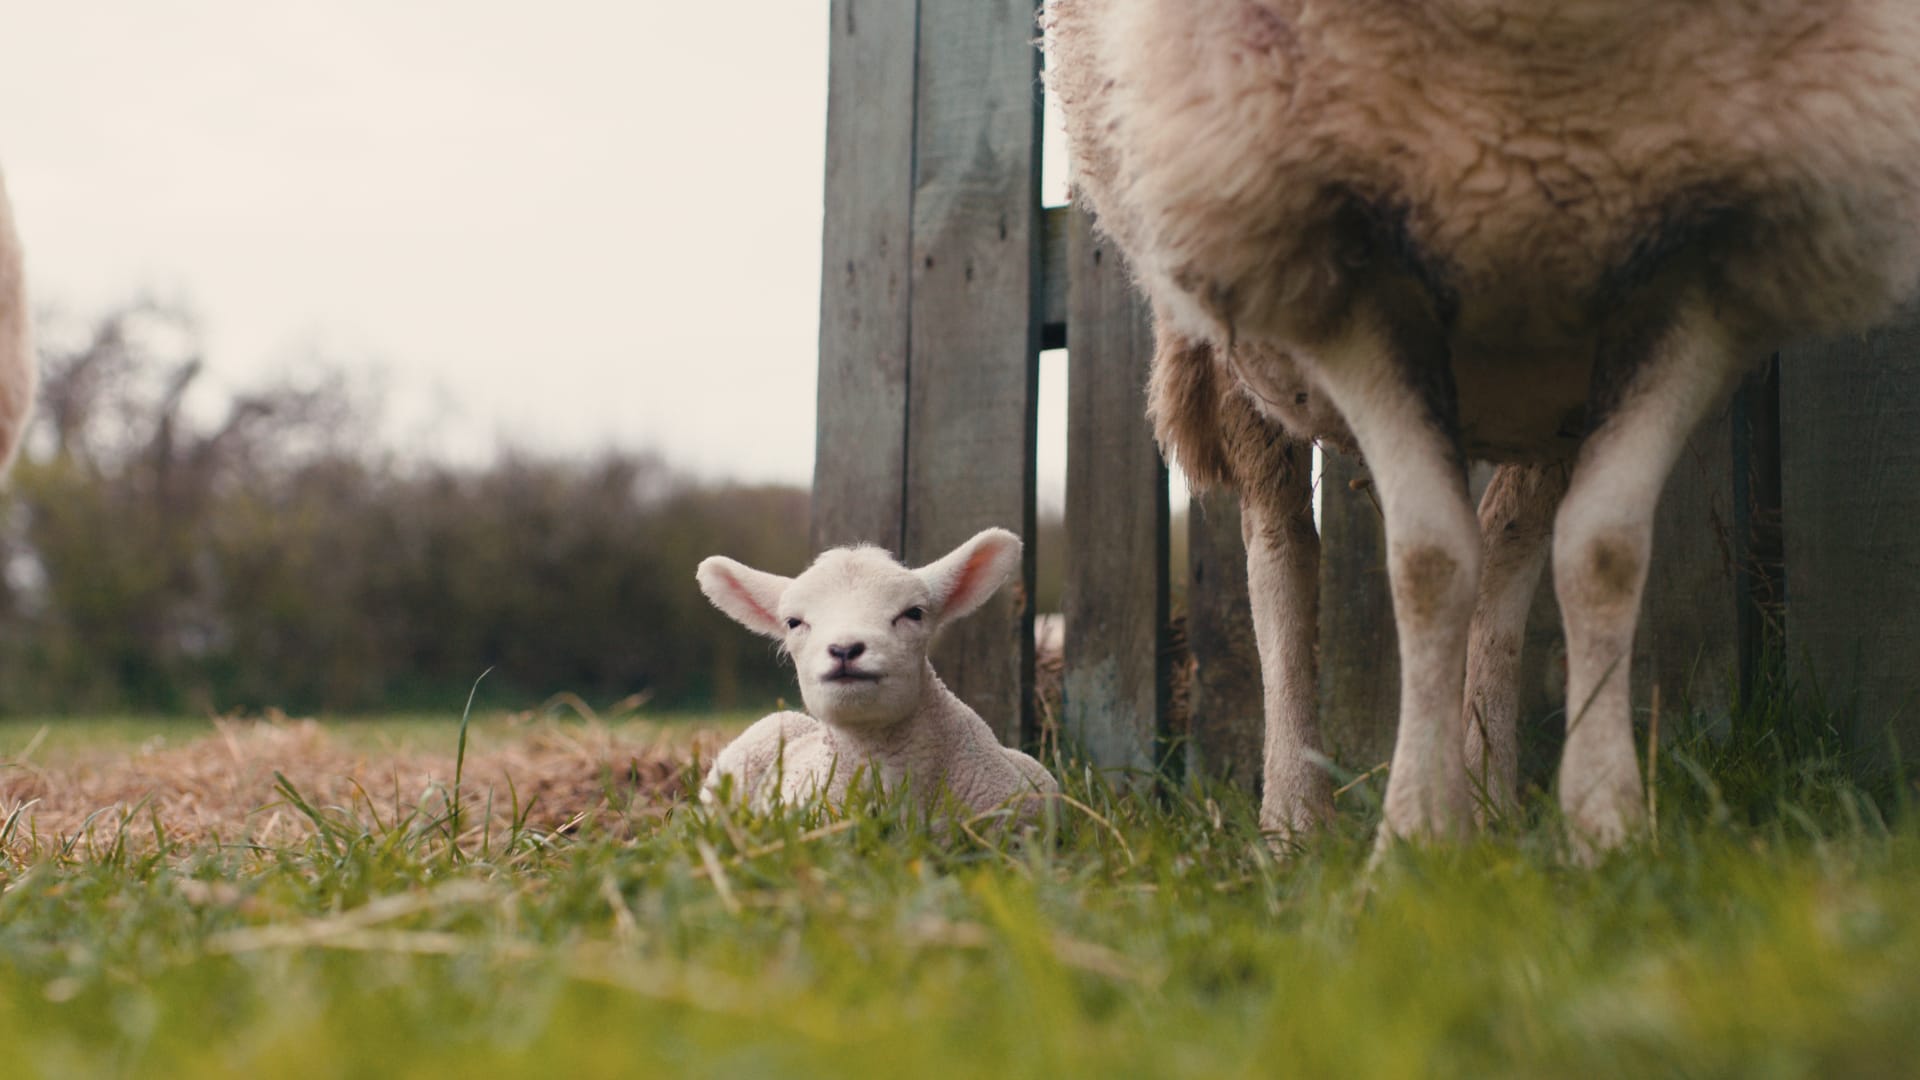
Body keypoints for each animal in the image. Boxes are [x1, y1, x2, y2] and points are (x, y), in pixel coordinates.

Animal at [1045, 0, 1920, 854]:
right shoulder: (1358, 261)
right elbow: (1427, 563)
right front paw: (1416, 838)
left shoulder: (1694, 270)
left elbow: (1605, 554)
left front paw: (1606, 829)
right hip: (1242, 300)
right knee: (1281, 550)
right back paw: (1296, 814)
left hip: (1550, 388)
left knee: (1506, 542)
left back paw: (1488, 794)